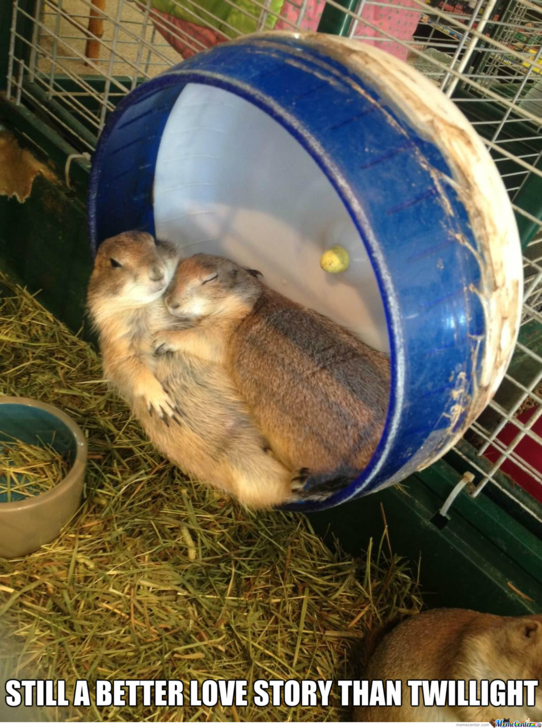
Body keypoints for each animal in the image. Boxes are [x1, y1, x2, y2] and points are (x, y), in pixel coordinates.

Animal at [87, 232, 308, 509]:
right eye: (114, 263)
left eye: (154, 241)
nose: (157, 272)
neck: (152, 305)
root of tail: (260, 443)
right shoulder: (116, 337)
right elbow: (128, 365)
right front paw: (162, 403)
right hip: (243, 463)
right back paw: (296, 481)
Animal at [153, 253, 391, 498]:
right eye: (177, 270)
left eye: (210, 278)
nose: (170, 302)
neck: (253, 300)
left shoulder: (225, 327)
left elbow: (204, 338)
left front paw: (162, 337)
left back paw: (303, 482)